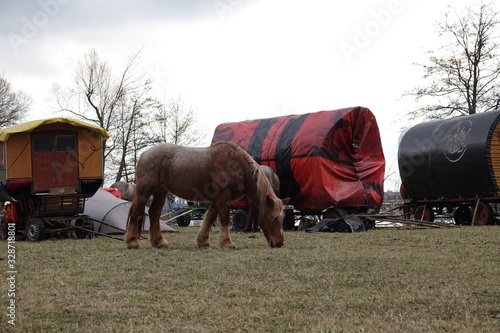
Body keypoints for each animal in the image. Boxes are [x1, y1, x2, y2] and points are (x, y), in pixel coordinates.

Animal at [124, 141, 286, 249]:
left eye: (282, 218)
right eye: (273, 218)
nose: (279, 243)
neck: (237, 164)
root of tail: (145, 154)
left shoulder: (217, 200)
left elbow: (209, 218)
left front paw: (203, 242)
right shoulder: (223, 197)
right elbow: (224, 219)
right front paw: (227, 243)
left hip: (161, 192)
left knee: (154, 213)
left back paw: (159, 242)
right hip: (145, 191)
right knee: (136, 211)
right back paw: (132, 242)